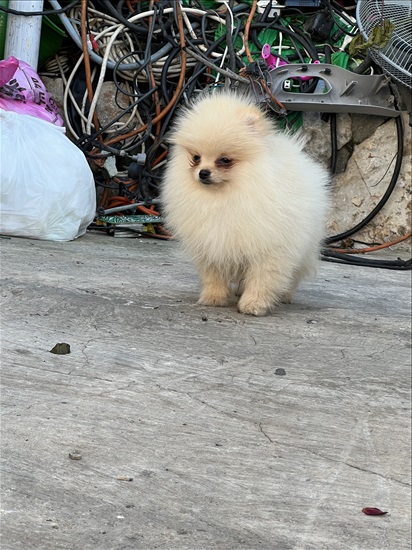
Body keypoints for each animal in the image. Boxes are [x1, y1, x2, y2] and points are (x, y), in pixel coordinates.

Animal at [160, 92, 328, 316]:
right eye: (196, 158)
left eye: (224, 160)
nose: (203, 173)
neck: (225, 197)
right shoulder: (212, 244)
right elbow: (214, 276)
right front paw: (214, 298)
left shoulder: (269, 248)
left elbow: (262, 279)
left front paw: (254, 304)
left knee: (293, 274)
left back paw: (284, 295)